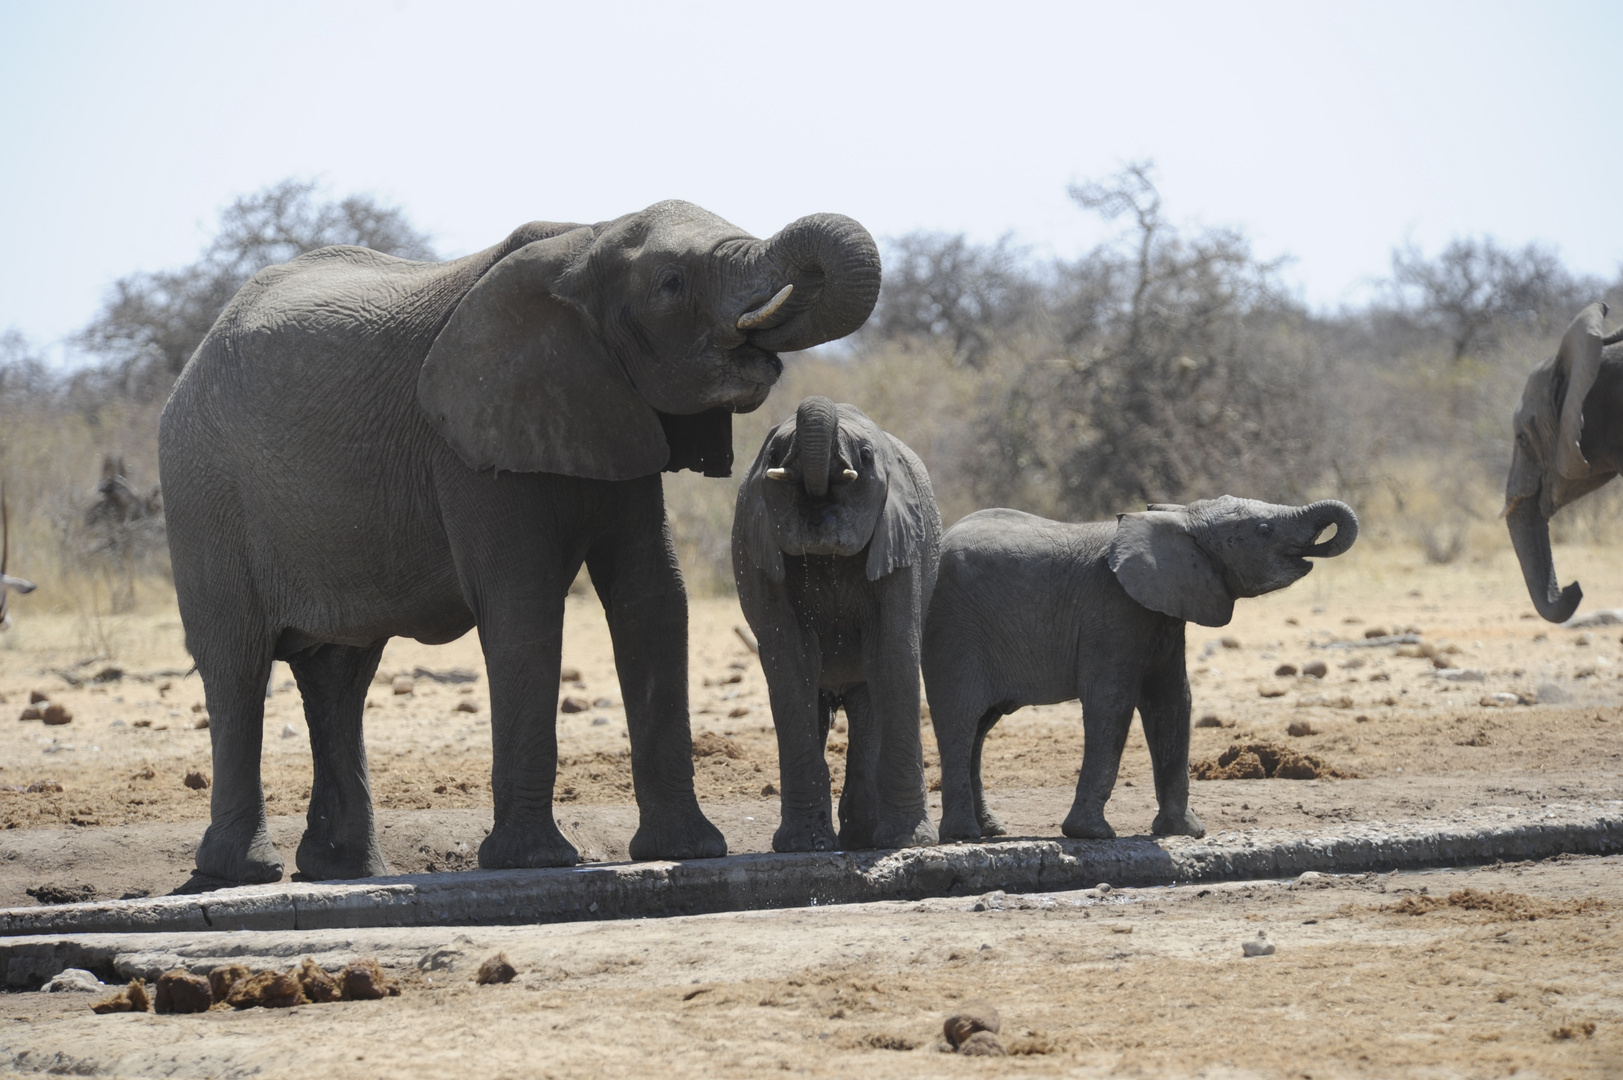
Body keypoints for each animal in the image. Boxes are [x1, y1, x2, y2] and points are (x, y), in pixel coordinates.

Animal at [158, 198, 882, 883]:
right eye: (671, 283)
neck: (586, 241)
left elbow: (652, 595)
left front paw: (691, 851)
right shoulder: (471, 443)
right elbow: (524, 603)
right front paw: (535, 860)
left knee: (339, 679)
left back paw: (346, 871)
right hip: (203, 496)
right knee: (238, 666)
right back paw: (239, 872)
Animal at [733, 396, 947, 851]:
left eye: (864, 457)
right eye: (774, 457)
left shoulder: (900, 541)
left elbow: (893, 653)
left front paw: (909, 843)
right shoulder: (759, 548)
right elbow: (790, 663)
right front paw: (804, 847)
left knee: (868, 703)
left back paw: (863, 837)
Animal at [928, 496, 1356, 844]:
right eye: (1263, 530)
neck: (1179, 519)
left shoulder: (1164, 612)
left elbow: (1174, 701)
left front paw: (1185, 832)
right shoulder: (1112, 610)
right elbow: (1112, 703)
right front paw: (1092, 835)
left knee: (980, 727)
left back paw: (990, 830)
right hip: (955, 628)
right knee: (960, 721)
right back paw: (963, 835)